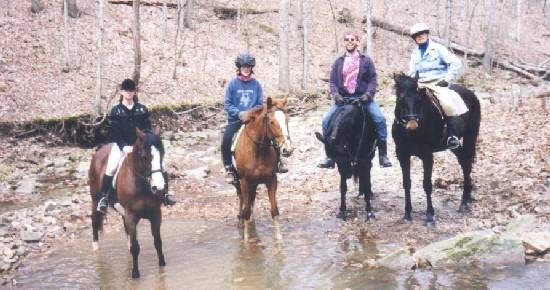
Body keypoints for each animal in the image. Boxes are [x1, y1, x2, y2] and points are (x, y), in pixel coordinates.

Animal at [87, 128, 166, 278]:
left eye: (162, 154)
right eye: (144, 157)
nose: (158, 187)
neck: (142, 185)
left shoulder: (156, 214)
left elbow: (158, 242)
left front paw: (162, 267)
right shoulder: (131, 216)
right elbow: (136, 247)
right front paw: (135, 274)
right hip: (95, 200)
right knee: (94, 223)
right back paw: (96, 251)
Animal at [233, 96, 294, 241]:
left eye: (286, 119)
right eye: (271, 122)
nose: (287, 150)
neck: (258, 150)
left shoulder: (271, 180)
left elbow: (274, 210)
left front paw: (279, 239)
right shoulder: (244, 182)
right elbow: (246, 210)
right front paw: (246, 241)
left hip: (254, 183)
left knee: (251, 200)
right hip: (239, 182)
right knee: (243, 200)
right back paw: (241, 221)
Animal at [394, 73, 480, 227]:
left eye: (418, 100)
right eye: (400, 99)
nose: (412, 125)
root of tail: (471, 94)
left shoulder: (427, 156)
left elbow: (427, 185)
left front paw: (429, 216)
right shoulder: (402, 155)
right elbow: (406, 183)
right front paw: (407, 213)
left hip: (471, 136)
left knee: (467, 164)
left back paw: (464, 202)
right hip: (454, 146)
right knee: (464, 161)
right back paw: (467, 197)